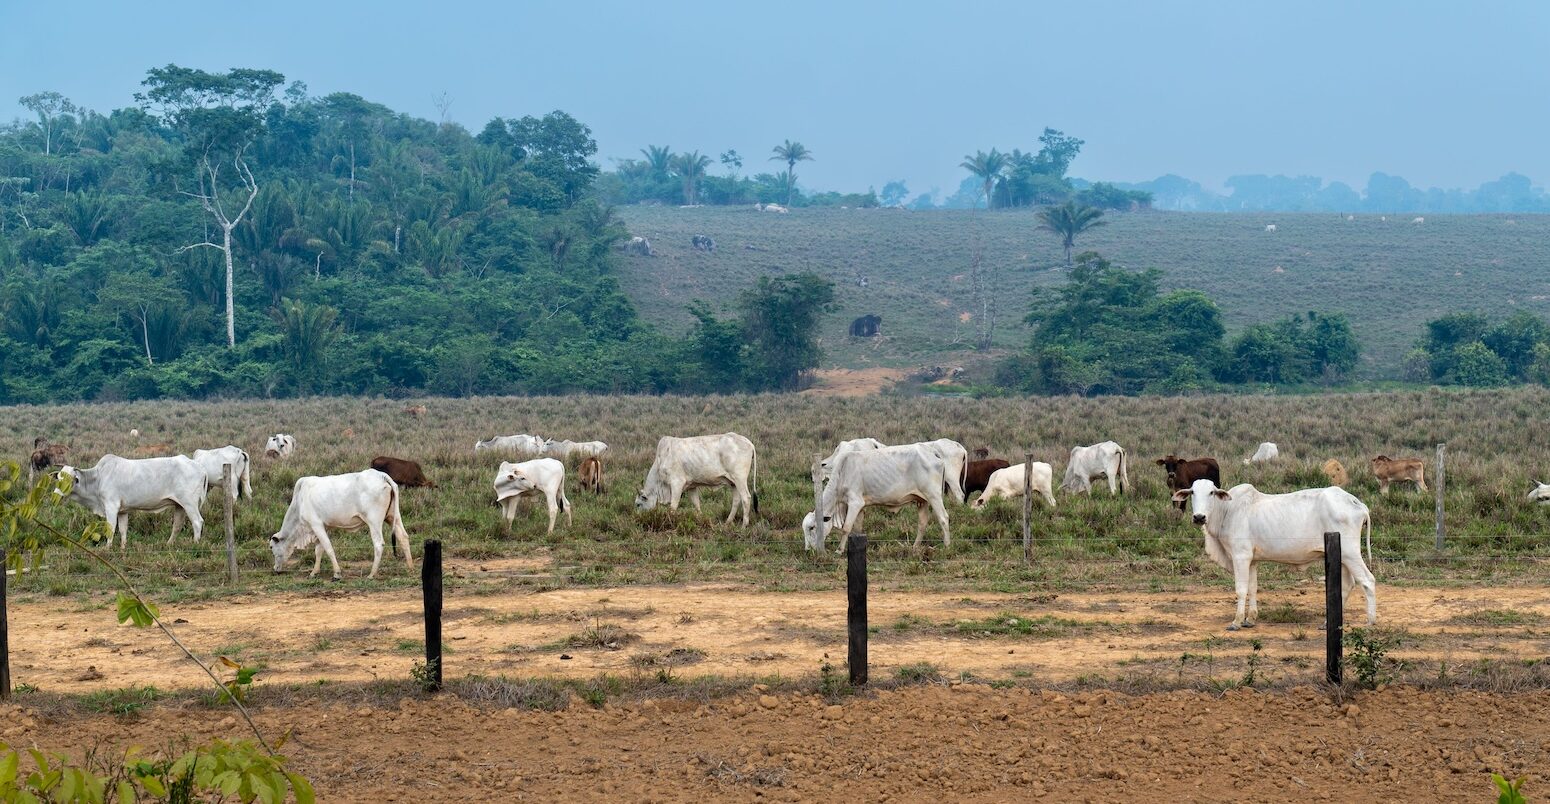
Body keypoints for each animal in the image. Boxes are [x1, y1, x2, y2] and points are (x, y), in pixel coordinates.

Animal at [60, 455, 207, 551]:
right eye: (58, 477)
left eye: (70, 479)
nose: (58, 494)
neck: (98, 478)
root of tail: (200, 466)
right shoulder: (123, 511)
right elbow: (123, 529)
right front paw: (123, 547)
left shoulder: (111, 506)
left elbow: (111, 528)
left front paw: (107, 548)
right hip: (179, 505)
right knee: (177, 526)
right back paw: (169, 544)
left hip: (189, 503)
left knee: (197, 522)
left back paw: (195, 544)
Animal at [269, 467, 412, 582]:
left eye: (271, 547)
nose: (275, 569)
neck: (300, 501)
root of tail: (381, 476)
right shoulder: (323, 527)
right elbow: (319, 550)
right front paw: (314, 572)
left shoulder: (316, 525)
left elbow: (328, 548)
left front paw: (337, 574)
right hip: (393, 517)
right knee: (403, 537)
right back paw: (410, 567)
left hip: (374, 522)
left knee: (378, 544)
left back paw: (372, 574)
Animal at [806, 446, 948, 554]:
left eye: (812, 527)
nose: (807, 550)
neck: (842, 472)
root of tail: (931, 451)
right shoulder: (860, 507)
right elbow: (857, 528)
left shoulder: (855, 502)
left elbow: (846, 528)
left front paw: (839, 550)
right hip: (922, 500)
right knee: (922, 524)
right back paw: (915, 547)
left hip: (933, 495)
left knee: (944, 518)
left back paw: (947, 546)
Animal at [1165, 480, 1376, 632]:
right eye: (1192, 492)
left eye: (1211, 492)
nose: (1199, 517)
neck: (1228, 511)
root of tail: (1356, 502)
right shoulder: (1252, 561)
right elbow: (1252, 588)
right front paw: (1250, 619)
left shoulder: (1240, 557)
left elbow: (1241, 589)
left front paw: (1236, 621)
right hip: (1342, 557)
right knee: (1347, 585)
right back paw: (1329, 623)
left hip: (1350, 553)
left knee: (1367, 580)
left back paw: (1370, 622)